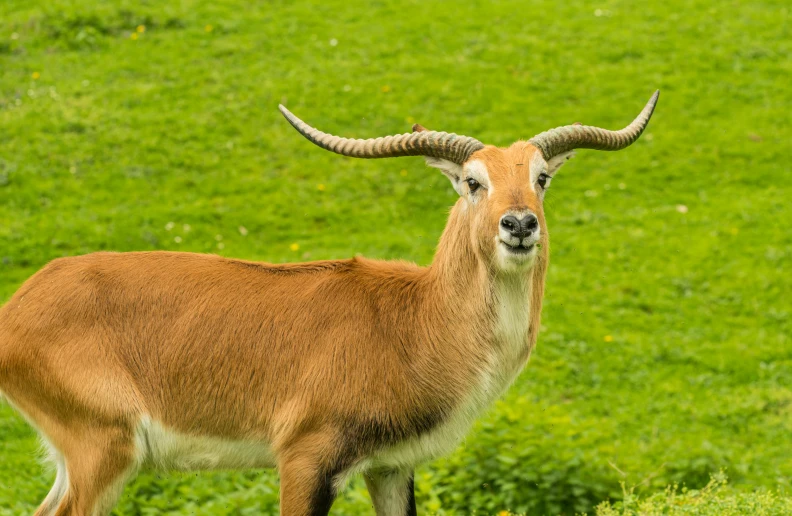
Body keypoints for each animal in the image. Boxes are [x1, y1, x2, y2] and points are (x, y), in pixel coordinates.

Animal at [0, 90, 656, 512]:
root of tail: (20, 303)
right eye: (473, 181)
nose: (519, 224)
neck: (414, 323)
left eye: (541, 177)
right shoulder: (304, 459)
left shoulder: (392, 466)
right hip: (104, 451)